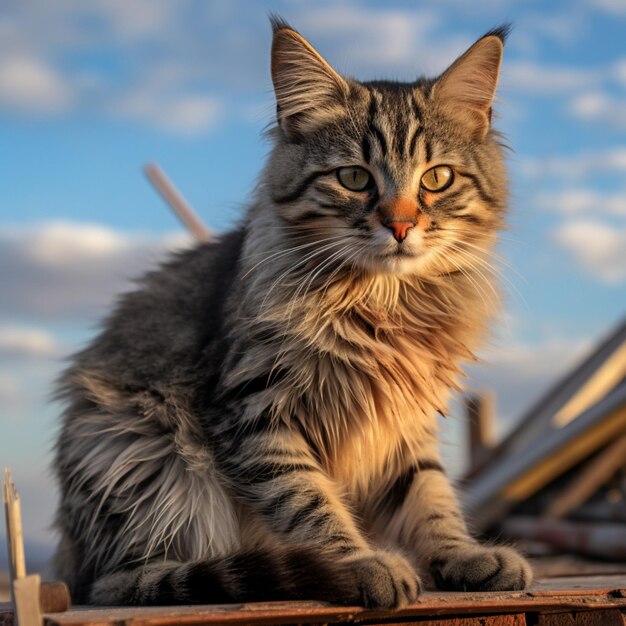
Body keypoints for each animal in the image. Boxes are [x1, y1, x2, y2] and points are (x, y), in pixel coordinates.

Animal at [52, 18, 532, 604]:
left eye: (437, 179)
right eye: (354, 178)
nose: (400, 224)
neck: (382, 304)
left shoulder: (405, 420)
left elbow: (429, 495)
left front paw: (462, 556)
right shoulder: (256, 412)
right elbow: (307, 501)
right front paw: (360, 565)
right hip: (135, 450)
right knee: (122, 580)